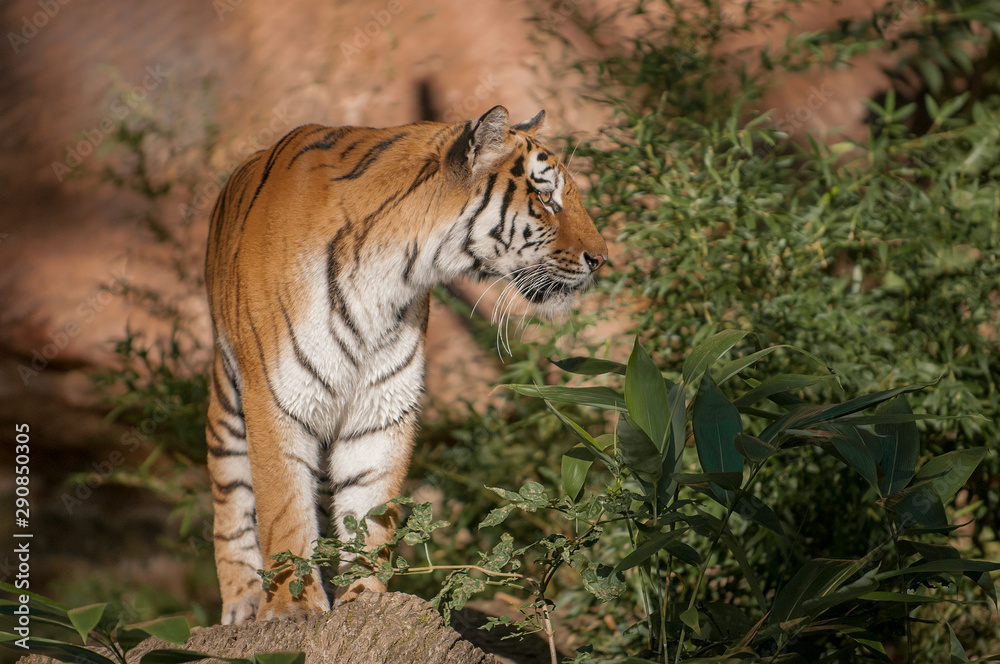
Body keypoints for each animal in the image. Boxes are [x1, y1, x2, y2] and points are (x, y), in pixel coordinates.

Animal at [204, 105, 608, 624]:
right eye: (544, 196)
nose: (601, 259)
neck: (390, 271)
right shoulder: (278, 397)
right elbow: (283, 510)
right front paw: (292, 608)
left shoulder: (381, 403)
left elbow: (370, 508)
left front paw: (366, 597)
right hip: (229, 395)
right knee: (230, 497)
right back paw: (243, 601)